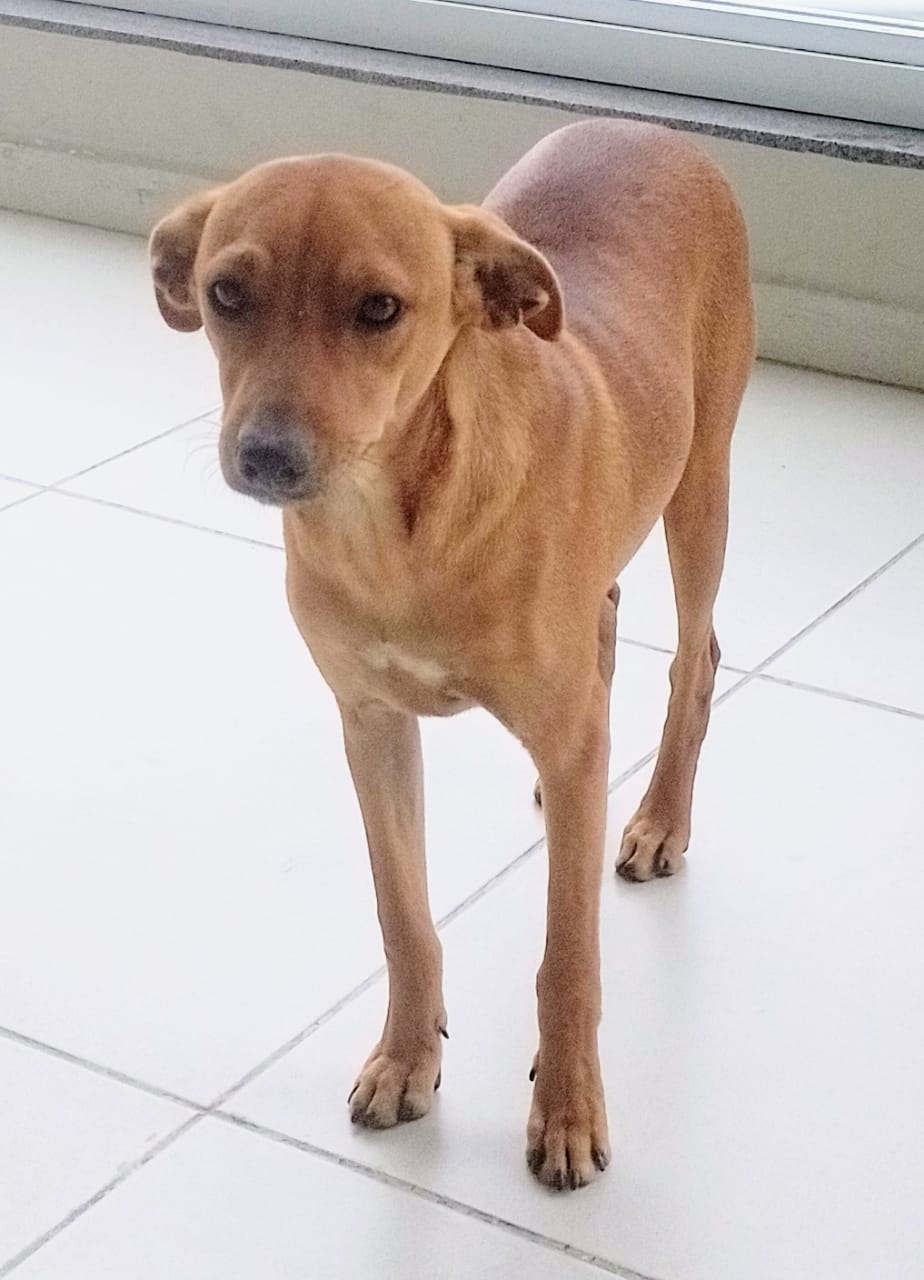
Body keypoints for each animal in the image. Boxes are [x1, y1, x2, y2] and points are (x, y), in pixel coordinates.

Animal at [149, 119, 754, 1190]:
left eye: (380, 309)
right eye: (225, 293)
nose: (266, 457)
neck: (396, 530)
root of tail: (647, 128)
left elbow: (569, 959)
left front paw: (567, 1110)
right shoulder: (371, 727)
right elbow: (402, 919)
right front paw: (405, 1057)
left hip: (701, 485)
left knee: (697, 657)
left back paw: (655, 819)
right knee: (606, 629)